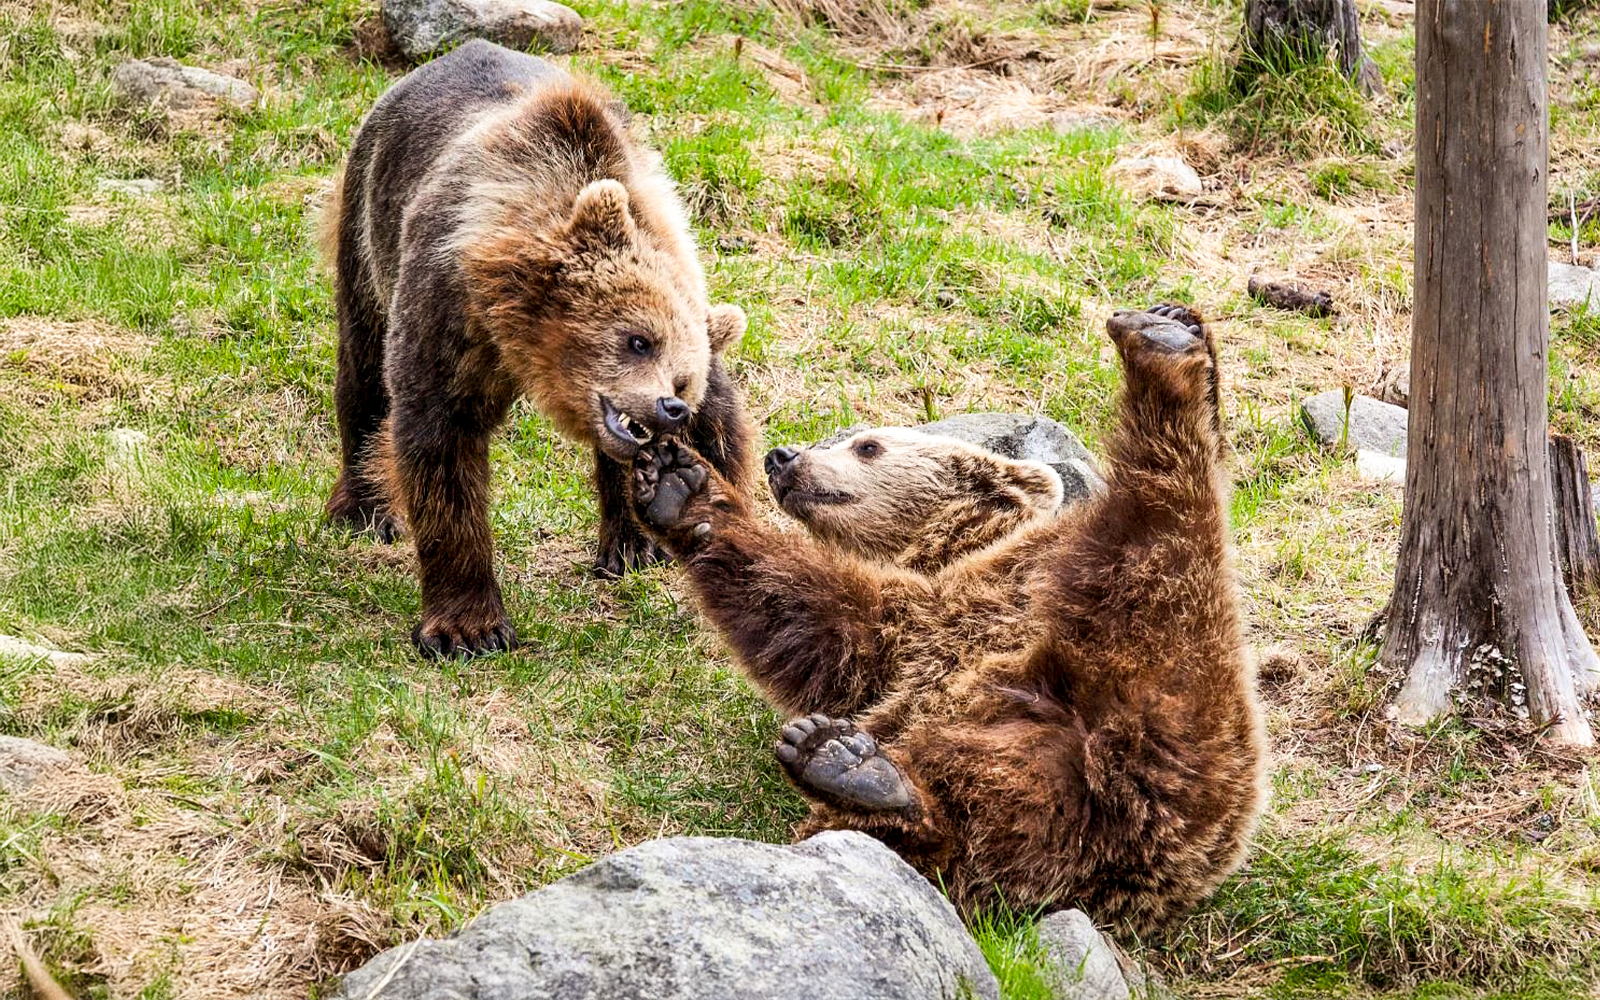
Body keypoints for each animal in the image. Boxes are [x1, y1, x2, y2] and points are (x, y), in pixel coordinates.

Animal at [320, 40, 753, 657]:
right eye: (638, 340)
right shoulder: (448, 311)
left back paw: (630, 546)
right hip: (366, 221)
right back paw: (364, 507)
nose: (669, 407)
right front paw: (468, 629)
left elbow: (720, 433)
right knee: (363, 370)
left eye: (682, 379)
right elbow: (440, 443)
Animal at [627, 304, 1265, 935]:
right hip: (1030, 793)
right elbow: (817, 632)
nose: (783, 456)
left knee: (1163, 528)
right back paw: (855, 770)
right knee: (961, 829)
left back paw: (1163, 349)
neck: (956, 546)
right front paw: (678, 485)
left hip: (1176, 673)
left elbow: (831, 607)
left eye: (868, 446)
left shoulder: (985, 591)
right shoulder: (907, 645)